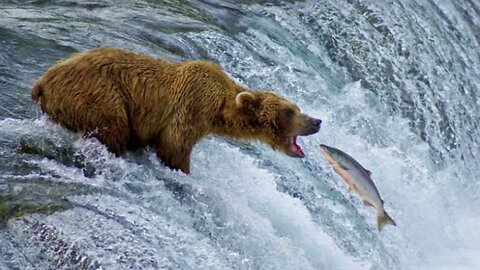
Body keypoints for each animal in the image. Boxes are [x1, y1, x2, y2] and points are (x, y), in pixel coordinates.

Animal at [31, 48, 320, 173]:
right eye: (289, 112)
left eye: (297, 107)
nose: (316, 121)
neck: (218, 110)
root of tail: (42, 82)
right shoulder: (190, 107)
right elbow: (174, 146)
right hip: (99, 94)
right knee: (113, 128)